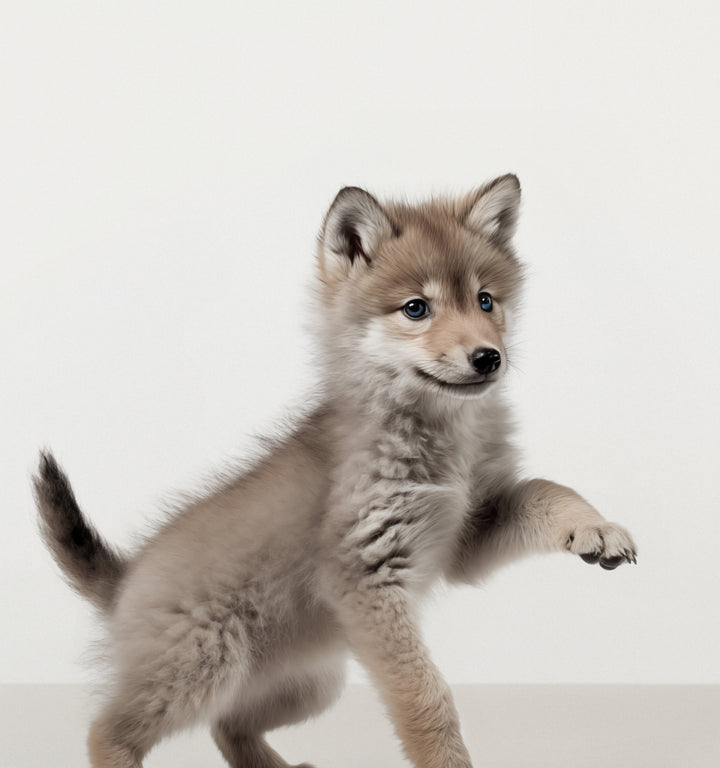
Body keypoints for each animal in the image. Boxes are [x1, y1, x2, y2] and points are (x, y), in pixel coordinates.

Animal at [35, 174, 637, 768]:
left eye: (486, 300)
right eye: (416, 309)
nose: (489, 357)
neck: (443, 440)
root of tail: (124, 579)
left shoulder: (467, 536)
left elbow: (547, 489)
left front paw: (594, 527)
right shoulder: (368, 579)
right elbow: (427, 700)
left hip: (309, 685)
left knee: (227, 727)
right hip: (203, 669)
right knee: (108, 732)